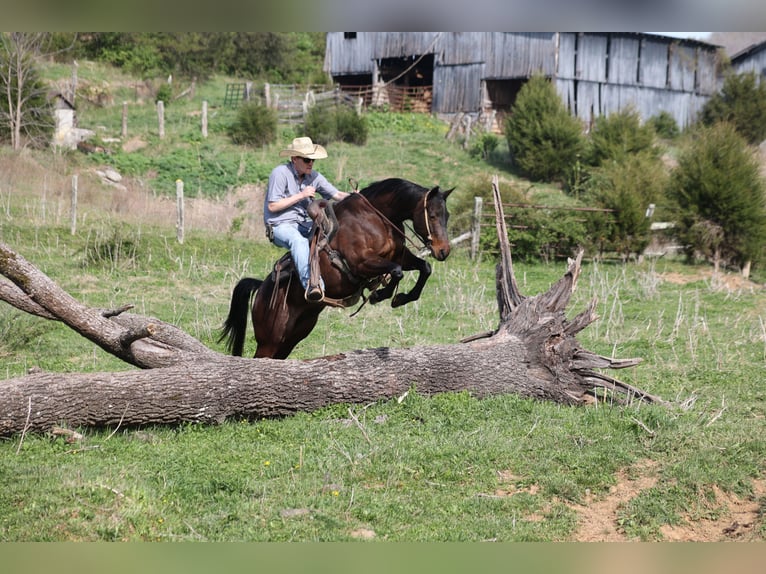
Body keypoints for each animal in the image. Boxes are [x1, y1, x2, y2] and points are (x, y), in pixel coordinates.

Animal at [218, 177, 453, 359]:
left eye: (447, 216)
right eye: (432, 215)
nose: (443, 250)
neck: (375, 218)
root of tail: (261, 289)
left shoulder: (400, 256)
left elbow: (425, 268)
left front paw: (401, 298)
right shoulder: (362, 263)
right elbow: (396, 271)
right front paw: (381, 295)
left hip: (294, 335)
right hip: (270, 337)